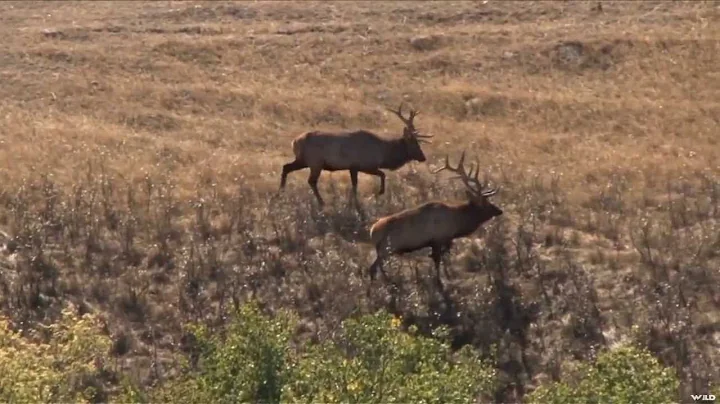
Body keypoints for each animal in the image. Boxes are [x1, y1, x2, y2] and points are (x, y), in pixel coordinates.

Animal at [279, 103, 433, 207]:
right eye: (414, 143)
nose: (423, 157)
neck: (383, 153)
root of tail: (295, 141)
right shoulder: (363, 165)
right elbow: (382, 174)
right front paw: (378, 192)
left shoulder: (353, 168)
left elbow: (354, 185)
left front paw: (352, 202)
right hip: (315, 162)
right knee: (311, 180)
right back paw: (321, 202)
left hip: (303, 160)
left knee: (286, 167)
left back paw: (281, 192)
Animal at [368, 151, 503, 287]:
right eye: (485, 203)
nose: (499, 211)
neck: (457, 222)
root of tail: (372, 232)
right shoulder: (438, 239)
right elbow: (438, 260)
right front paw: (440, 281)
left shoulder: (441, 241)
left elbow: (442, 256)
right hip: (386, 248)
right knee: (373, 267)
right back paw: (385, 284)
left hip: (383, 250)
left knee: (376, 266)